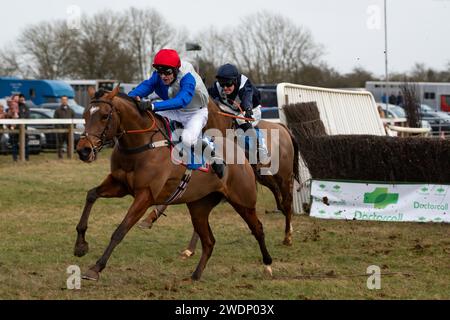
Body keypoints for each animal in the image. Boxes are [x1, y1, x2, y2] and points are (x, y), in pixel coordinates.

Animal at [74, 86, 272, 282]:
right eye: (85, 115)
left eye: (104, 116)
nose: (83, 150)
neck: (143, 145)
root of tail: (241, 155)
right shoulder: (119, 184)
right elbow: (91, 195)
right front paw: (80, 246)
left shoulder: (145, 195)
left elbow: (120, 230)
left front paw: (96, 268)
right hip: (199, 207)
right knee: (209, 241)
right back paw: (195, 275)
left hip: (243, 201)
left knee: (258, 228)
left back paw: (268, 265)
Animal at [138, 99, 298, 256]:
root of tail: (282, 127)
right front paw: (149, 219)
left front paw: (191, 248)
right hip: (263, 176)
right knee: (277, 194)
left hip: (283, 176)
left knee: (287, 200)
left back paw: (288, 236)